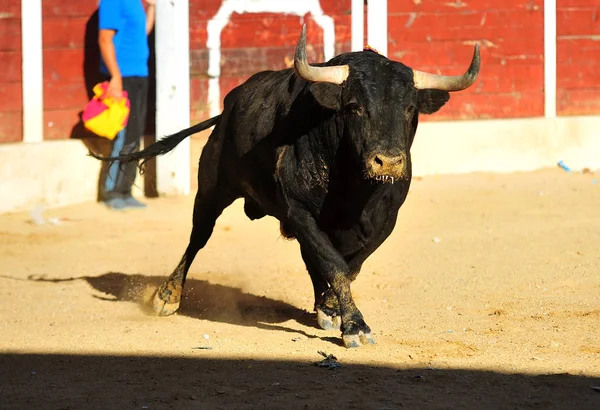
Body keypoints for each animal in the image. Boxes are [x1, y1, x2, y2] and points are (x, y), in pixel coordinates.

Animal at [90, 24, 482, 348]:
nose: (387, 162)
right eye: (354, 107)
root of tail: (229, 105)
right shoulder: (299, 210)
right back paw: (168, 295)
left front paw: (332, 308)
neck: (353, 186)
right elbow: (335, 264)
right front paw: (355, 326)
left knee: (311, 258)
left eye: (410, 108)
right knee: (197, 238)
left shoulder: (385, 219)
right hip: (211, 190)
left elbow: (350, 263)